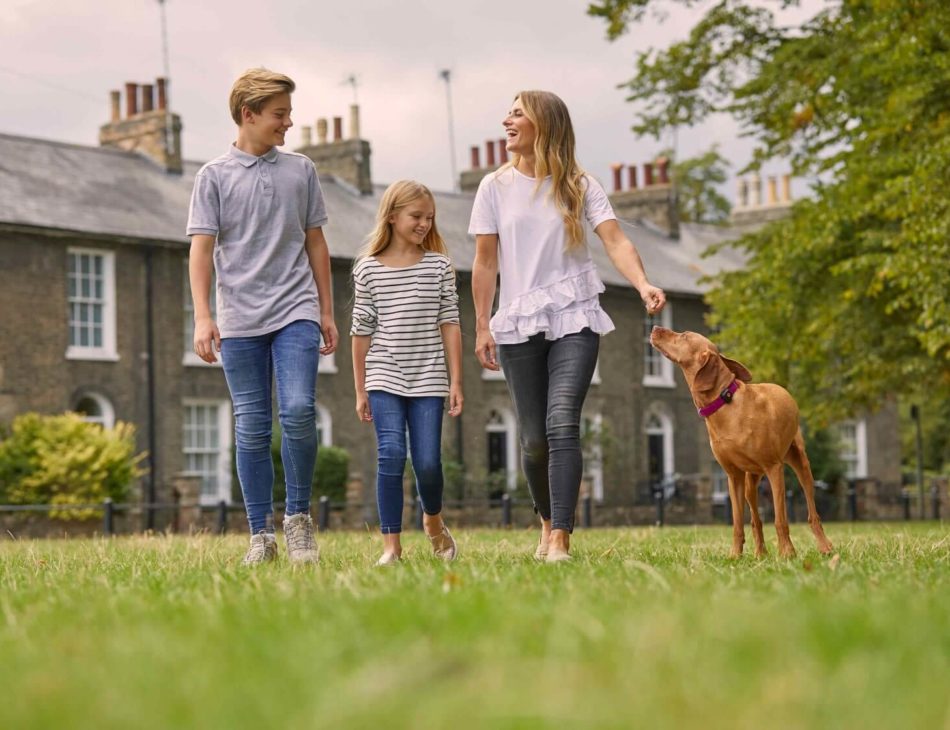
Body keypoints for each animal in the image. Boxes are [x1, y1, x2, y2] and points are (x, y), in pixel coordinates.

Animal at [652, 326, 836, 556]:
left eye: (684, 335)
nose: (655, 328)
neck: (725, 402)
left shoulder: (774, 468)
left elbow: (780, 519)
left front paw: (787, 553)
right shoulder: (734, 476)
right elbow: (738, 522)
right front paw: (735, 555)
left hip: (801, 464)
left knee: (812, 512)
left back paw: (825, 546)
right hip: (751, 481)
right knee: (755, 519)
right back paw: (760, 554)